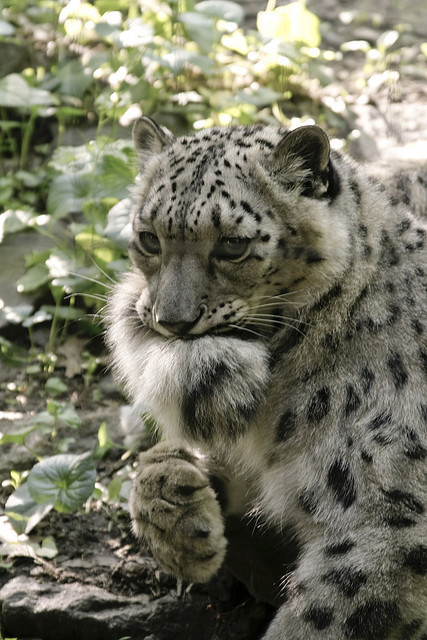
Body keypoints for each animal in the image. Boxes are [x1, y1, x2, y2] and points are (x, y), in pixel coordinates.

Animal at [105, 116, 427, 640]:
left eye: (233, 244)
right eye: (149, 238)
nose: (171, 320)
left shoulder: (392, 520)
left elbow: (327, 616)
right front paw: (177, 505)